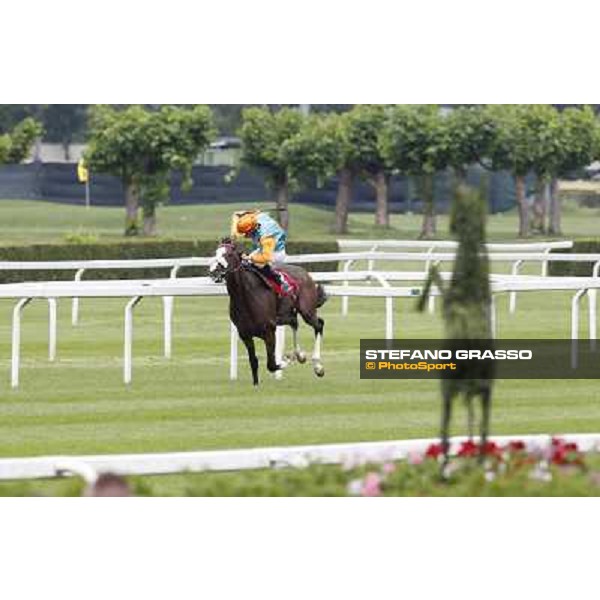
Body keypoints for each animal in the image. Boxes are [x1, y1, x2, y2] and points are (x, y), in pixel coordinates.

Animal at [207, 239, 328, 384]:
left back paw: (318, 366)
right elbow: (253, 361)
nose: (213, 271)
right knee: (294, 322)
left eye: (229, 254)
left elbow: (272, 364)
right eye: (215, 253)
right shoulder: (245, 334)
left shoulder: (269, 331)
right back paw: (300, 355)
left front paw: (287, 359)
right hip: (284, 316)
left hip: (307, 311)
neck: (246, 296)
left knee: (319, 324)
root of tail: (305, 273)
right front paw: (256, 384)